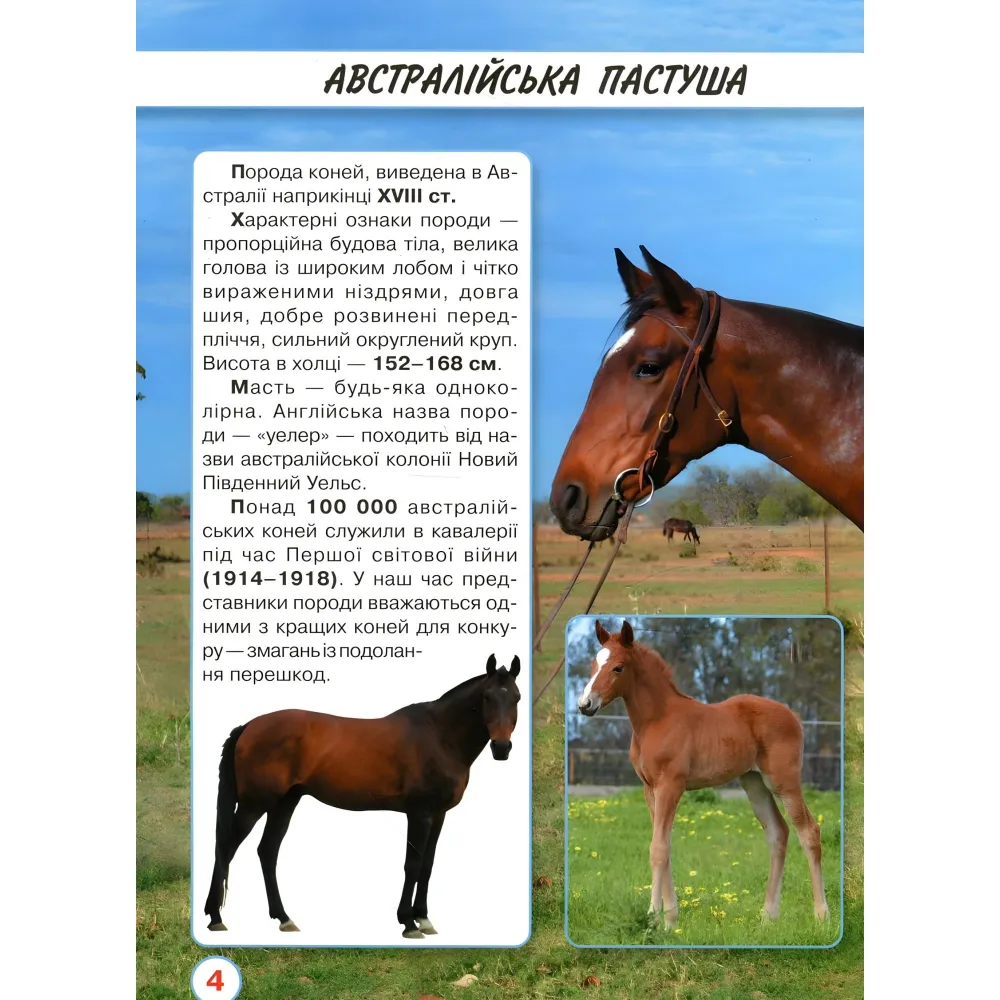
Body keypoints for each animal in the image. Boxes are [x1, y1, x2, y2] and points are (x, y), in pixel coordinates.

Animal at [204, 654, 521, 939]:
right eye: (487, 697)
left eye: (516, 698)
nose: (502, 748)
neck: (440, 736)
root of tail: (247, 727)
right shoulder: (419, 814)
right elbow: (412, 865)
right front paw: (408, 922)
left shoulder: (439, 815)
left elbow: (428, 866)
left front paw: (424, 919)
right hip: (254, 805)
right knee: (227, 847)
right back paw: (216, 917)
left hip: (284, 803)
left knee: (267, 851)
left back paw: (283, 918)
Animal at [576, 621, 828, 929]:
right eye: (594, 664)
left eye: (618, 668)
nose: (585, 704)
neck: (658, 720)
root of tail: (794, 716)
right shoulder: (650, 789)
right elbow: (664, 846)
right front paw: (667, 918)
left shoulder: (671, 785)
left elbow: (658, 849)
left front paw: (656, 918)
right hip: (754, 783)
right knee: (778, 833)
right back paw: (768, 917)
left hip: (784, 782)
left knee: (809, 831)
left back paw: (822, 915)